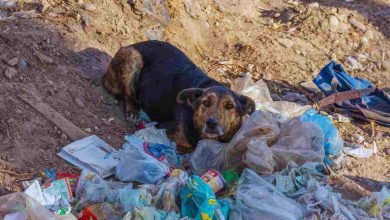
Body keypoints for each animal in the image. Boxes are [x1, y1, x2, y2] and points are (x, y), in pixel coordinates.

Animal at [103, 40, 256, 153]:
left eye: (229, 106)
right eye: (206, 103)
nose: (212, 124)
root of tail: (134, 44)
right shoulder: (167, 130)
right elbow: (189, 145)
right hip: (131, 58)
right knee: (128, 94)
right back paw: (133, 111)